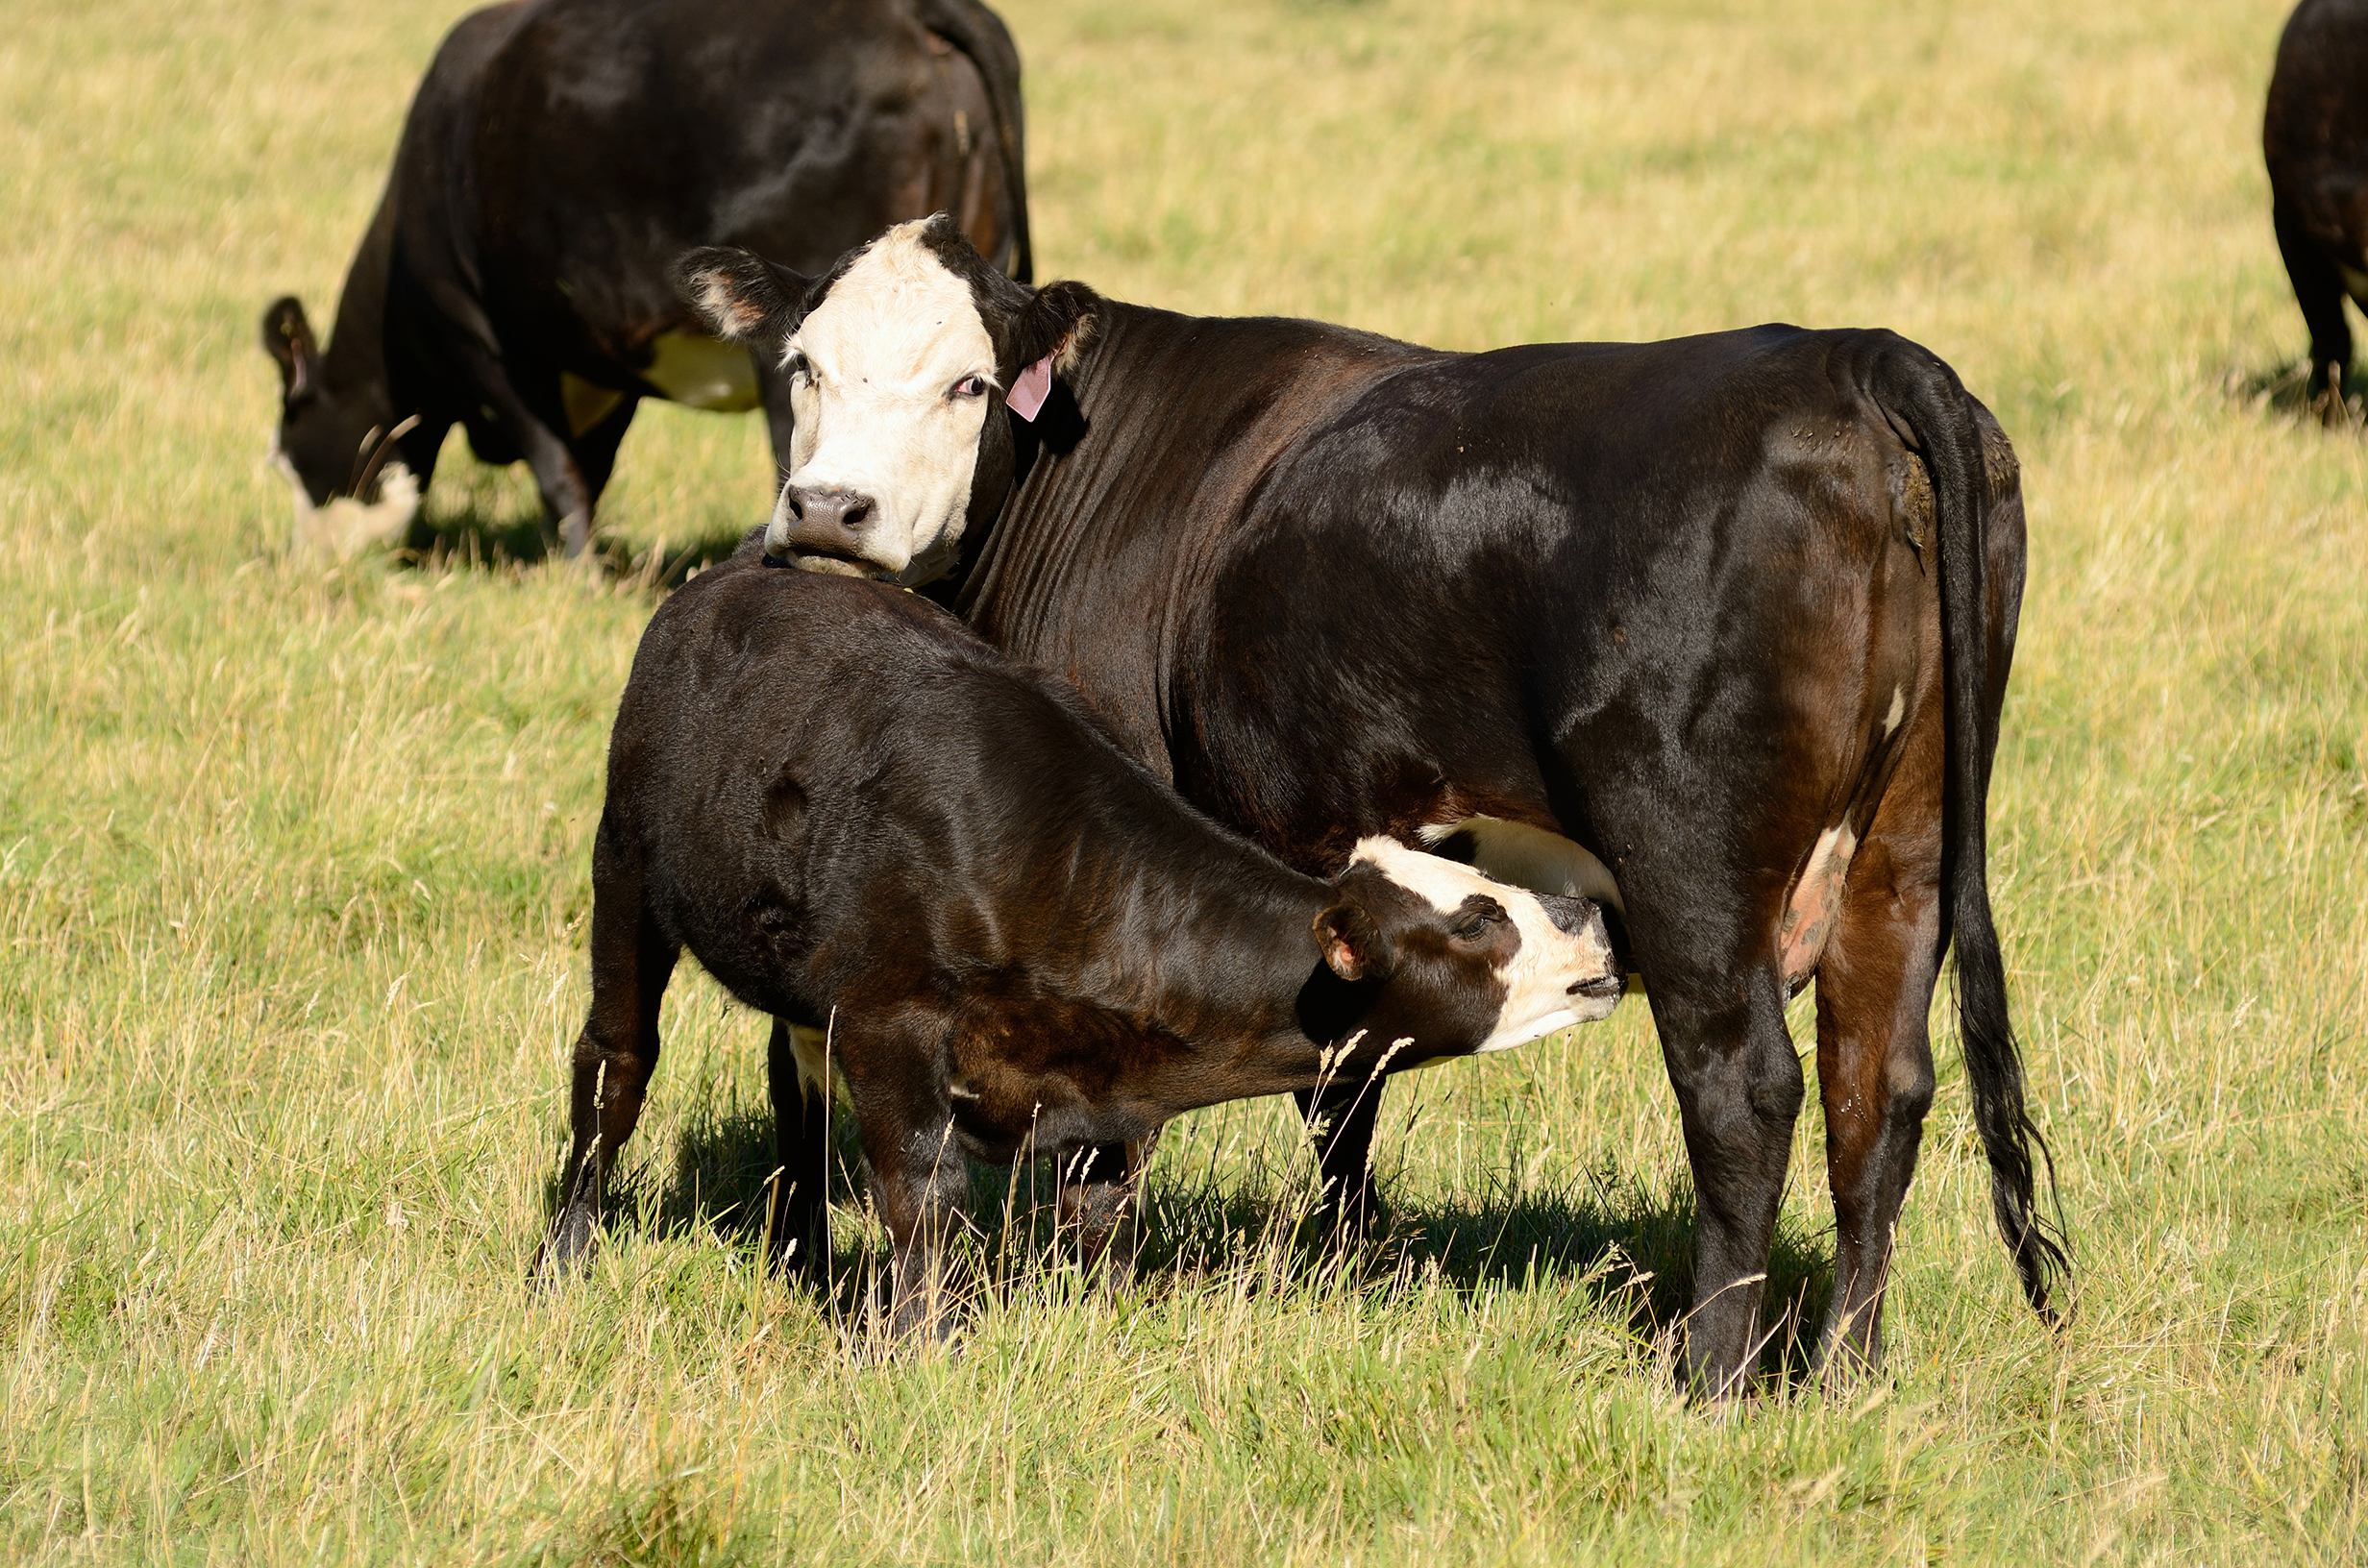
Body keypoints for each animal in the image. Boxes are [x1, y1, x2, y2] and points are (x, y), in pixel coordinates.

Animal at [259, 0, 1028, 562]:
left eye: (289, 454)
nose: (307, 564)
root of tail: (910, 12)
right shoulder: (601, 360)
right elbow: (589, 468)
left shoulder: (482, 339)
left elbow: (558, 471)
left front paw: (575, 574)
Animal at [534, 542, 1623, 1339]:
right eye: (1478, 921)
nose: (1591, 919)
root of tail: (748, 570)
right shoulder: (892, 1027)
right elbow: (920, 1191)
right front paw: (920, 1344)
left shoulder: (1099, 1098)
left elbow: (1100, 1221)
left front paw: (1097, 1328)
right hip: (623, 869)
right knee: (614, 1067)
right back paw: (567, 1255)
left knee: (791, 1092)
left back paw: (798, 1254)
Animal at [673, 215, 2073, 1396]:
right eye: (802, 366)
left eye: (969, 384)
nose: (827, 509)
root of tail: (1852, 358)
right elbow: (1346, 1080)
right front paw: (1347, 1263)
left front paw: (1081, 1279)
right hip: (1905, 848)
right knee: (1876, 1088)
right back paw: (1846, 1375)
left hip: (1693, 864)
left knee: (1747, 1091)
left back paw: (1711, 1378)